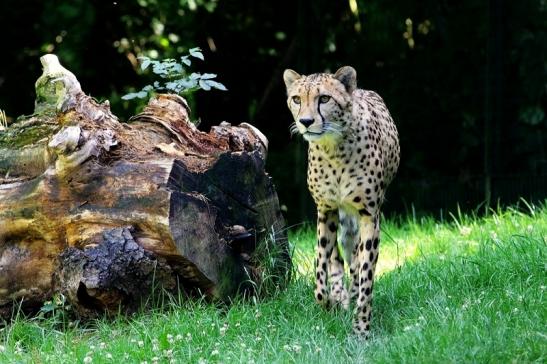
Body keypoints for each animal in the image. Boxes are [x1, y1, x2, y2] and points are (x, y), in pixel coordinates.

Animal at [284, 66, 400, 338]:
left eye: (324, 99)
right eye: (297, 99)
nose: (306, 122)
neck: (333, 150)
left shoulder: (369, 215)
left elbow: (366, 273)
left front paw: (361, 329)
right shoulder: (325, 210)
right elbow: (320, 266)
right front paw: (328, 302)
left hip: (353, 219)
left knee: (354, 256)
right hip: (338, 216)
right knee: (336, 256)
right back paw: (339, 294)